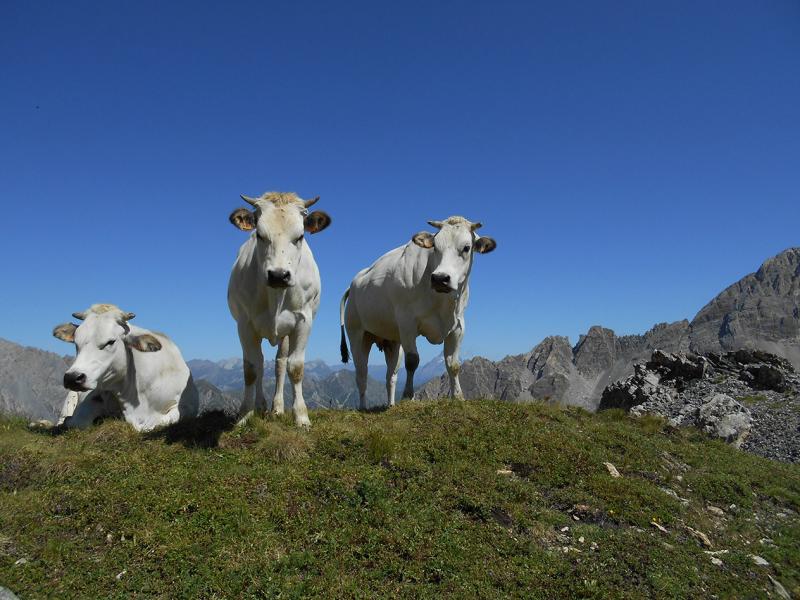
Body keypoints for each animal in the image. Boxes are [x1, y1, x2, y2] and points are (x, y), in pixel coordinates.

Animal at [51, 304, 198, 432]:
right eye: (76, 342)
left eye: (110, 342)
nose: (72, 378)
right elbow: (76, 421)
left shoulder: (186, 407)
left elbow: (162, 421)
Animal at [225, 191, 332, 426]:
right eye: (260, 234)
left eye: (300, 236)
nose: (278, 275)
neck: (275, 295)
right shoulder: (245, 324)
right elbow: (250, 369)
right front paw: (244, 415)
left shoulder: (303, 321)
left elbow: (295, 367)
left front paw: (301, 416)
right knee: (260, 362)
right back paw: (260, 405)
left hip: (284, 333)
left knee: (280, 363)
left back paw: (277, 407)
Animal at [342, 216, 496, 408]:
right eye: (435, 246)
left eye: (467, 247)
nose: (440, 278)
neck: (441, 302)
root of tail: (354, 284)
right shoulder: (407, 323)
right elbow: (412, 361)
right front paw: (408, 396)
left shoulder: (458, 326)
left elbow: (453, 364)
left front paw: (458, 396)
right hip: (357, 334)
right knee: (361, 373)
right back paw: (363, 407)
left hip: (392, 341)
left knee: (390, 376)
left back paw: (391, 405)